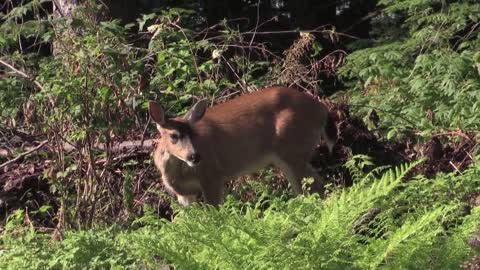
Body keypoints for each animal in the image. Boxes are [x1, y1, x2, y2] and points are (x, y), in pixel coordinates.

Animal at [148, 87, 336, 206]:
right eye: (174, 135)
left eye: (194, 134)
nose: (195, 156)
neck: (178, 175)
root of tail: (322, 109)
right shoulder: (185, 194)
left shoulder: (212, 176)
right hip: (293, 155)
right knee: (317, 183)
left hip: (293, 149)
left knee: (309, 188)